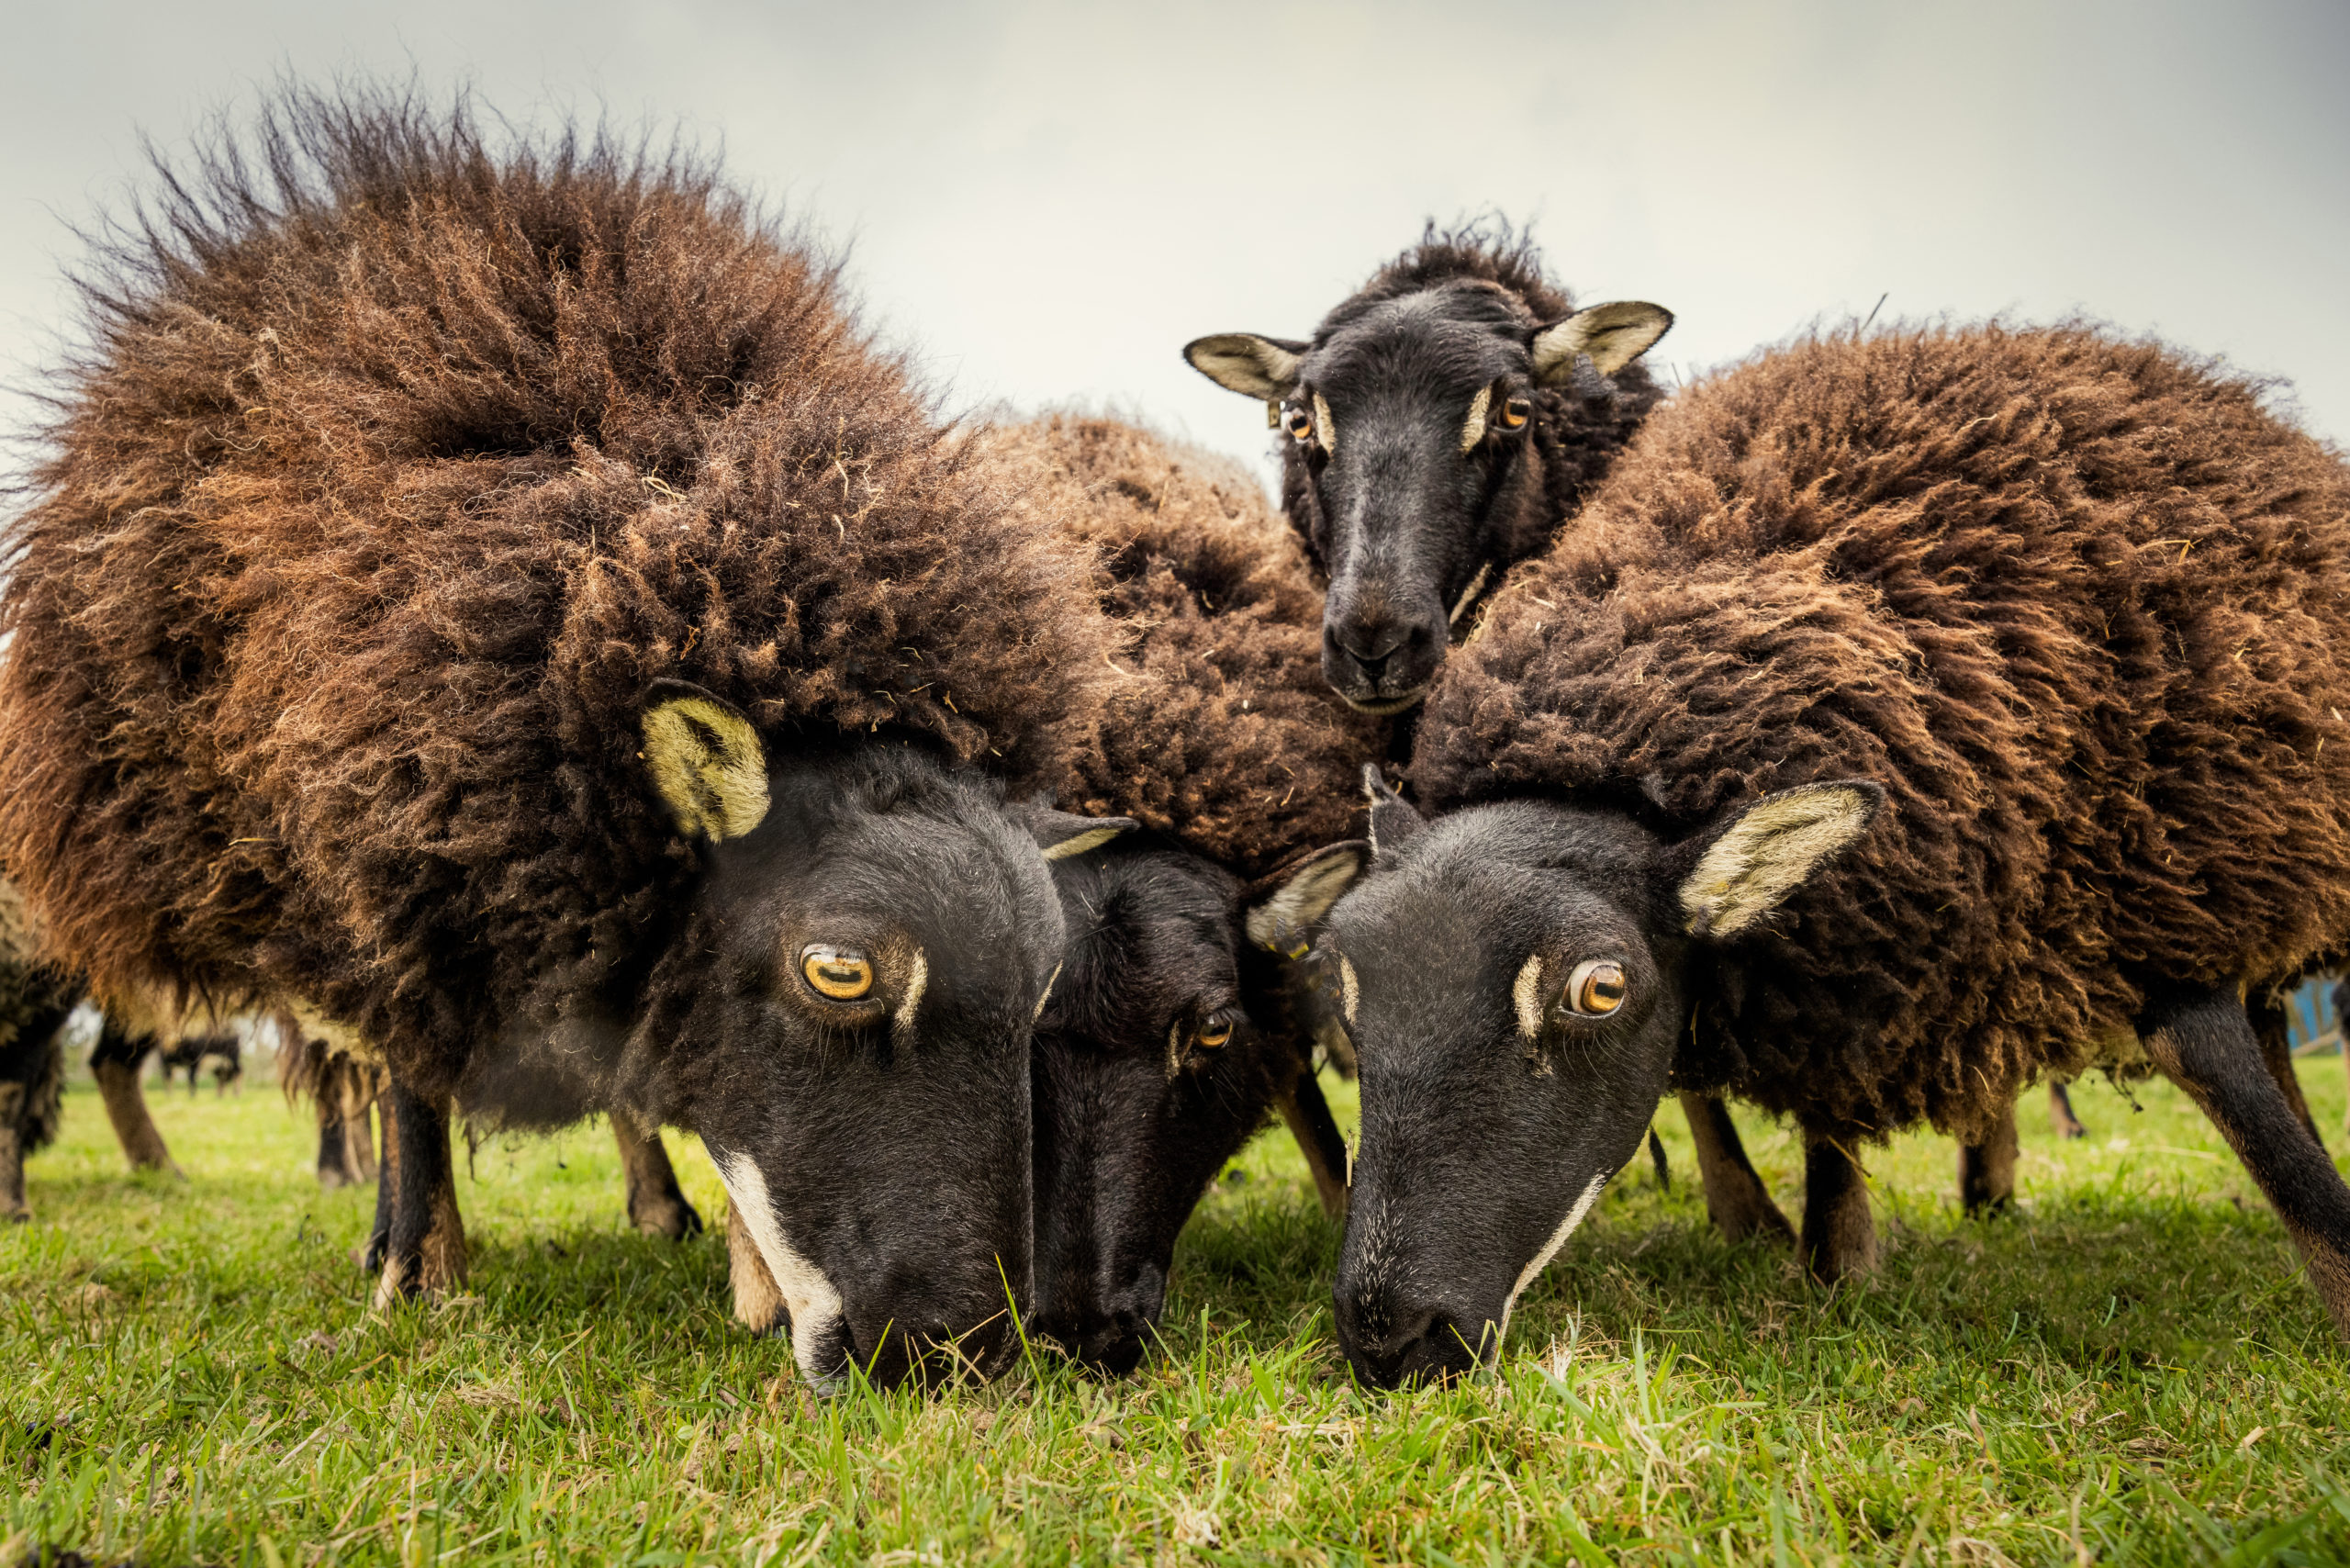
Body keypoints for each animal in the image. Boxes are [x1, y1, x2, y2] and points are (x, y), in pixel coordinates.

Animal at [0, 85, 1123, 1382]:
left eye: (1044, 991)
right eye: (837, 969)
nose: (959, 1353)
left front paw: (737, 1262)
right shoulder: (392, 850)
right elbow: (415, 1078)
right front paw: (416, 1272)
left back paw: (656, 1205)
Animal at [1315, 321, 2350, 1382]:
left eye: (1600, 990)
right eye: (1340, 991)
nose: (1392, 1338)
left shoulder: (2159, 883)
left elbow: (2227, 1082)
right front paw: (1837, 1261)